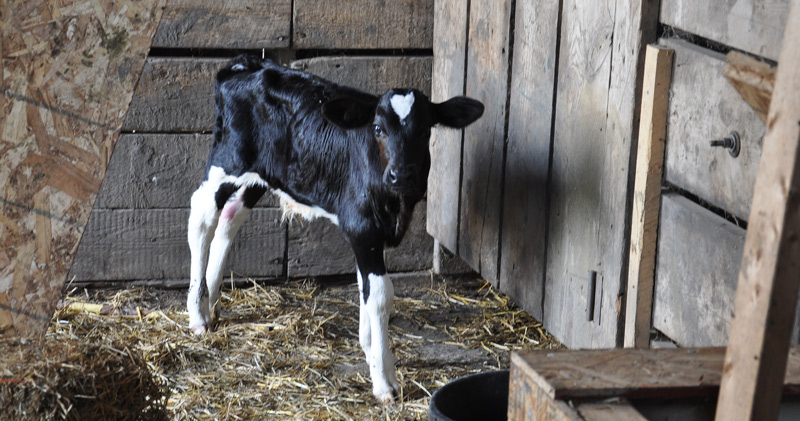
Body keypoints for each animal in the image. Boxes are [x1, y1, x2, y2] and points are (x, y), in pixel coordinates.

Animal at [186, 55, 484, 403]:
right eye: (378, 128)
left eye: (425, 130)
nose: (401, 174)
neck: (395, 201)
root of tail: (247, 65)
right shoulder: (362, 225)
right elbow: (379, 294)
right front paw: (384, 379)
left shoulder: (366, 234)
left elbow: (364, 287)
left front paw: (368, 346)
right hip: (228, 161)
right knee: (202, 217)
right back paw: (197, 315)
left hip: (260, 175)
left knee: (230, 219)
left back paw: (211, 303)